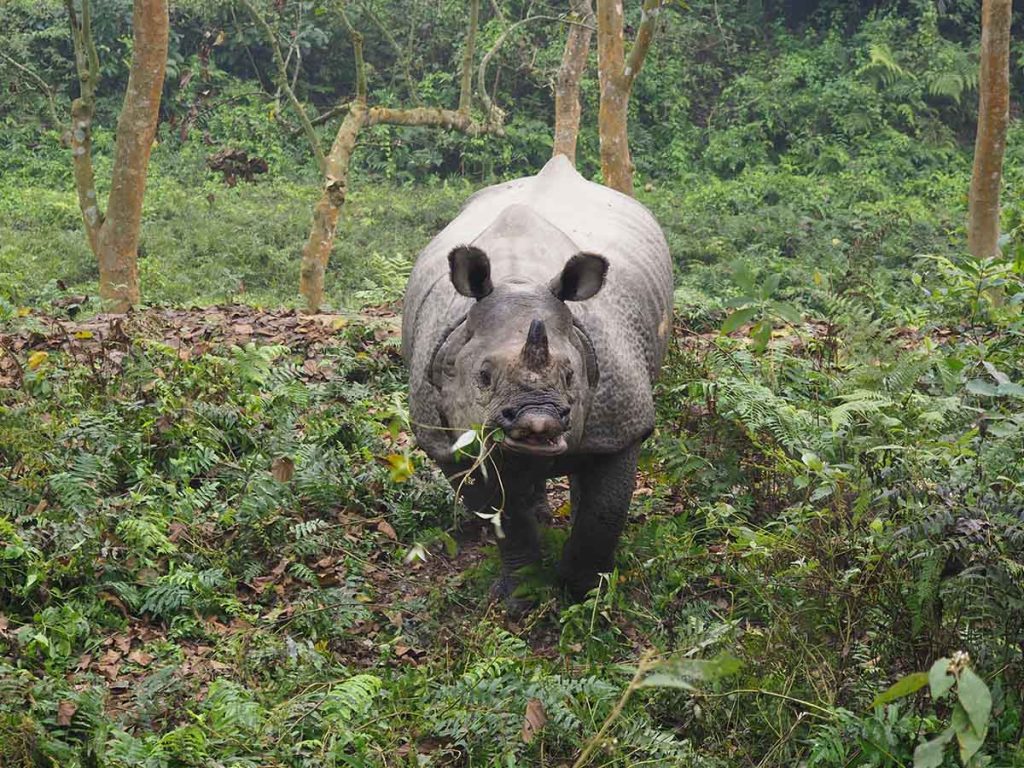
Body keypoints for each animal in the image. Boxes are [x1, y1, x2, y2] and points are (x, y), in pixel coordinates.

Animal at [402, 155, 673, 608]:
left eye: (570, 375)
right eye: (483, 377)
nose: (537, 422)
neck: (519, 281)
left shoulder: (620, 425)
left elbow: (604, 512)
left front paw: (582, 594)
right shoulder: (447, 438)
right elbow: (506, 513)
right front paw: (521, 599)